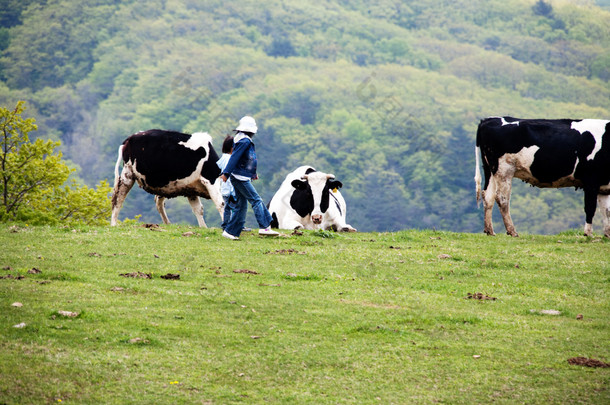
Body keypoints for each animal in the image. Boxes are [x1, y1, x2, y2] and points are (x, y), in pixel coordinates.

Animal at [476, 116, 608, 237]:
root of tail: (488, 120)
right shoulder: (591, 180)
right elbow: (590, 208)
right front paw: (588, 234)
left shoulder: (603, 186)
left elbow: (606, 211)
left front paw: (607, 234)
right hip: (504, 169)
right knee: (502, 198)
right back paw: (512, 231)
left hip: (491, 170)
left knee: (488, 196)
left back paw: (490, 231)